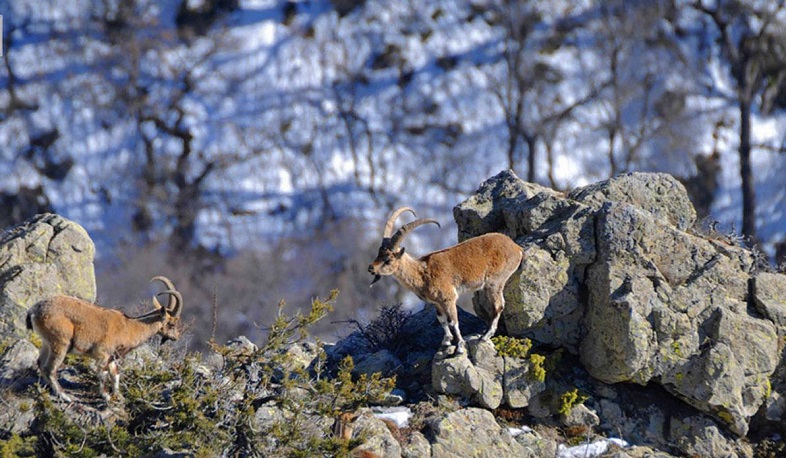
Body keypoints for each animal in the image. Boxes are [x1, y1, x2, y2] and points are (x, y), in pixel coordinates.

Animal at [26, 276, 184, 400]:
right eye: (171, 324)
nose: (176, 337)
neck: (130, 327)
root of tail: (34, 310)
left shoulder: (112, 357)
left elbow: (115, 375)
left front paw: (119, 397)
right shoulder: (102, 354)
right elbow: (103, 374)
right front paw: (106, 396)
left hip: (47, 343)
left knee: (40, 363)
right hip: (60, 343)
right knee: (50, 368)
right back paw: (65, 396)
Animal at [366, 207, 520, 354]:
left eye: (388, 259)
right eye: (378, 254)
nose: (371, 268)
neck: (422, 273)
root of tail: (516, 248)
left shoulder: (449, 298)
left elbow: (453, 322)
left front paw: (459, 347)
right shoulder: (437, 303)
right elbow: (442, 320)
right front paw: (446, 342)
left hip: (495, 282)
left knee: (498, 305)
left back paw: (485, 336)